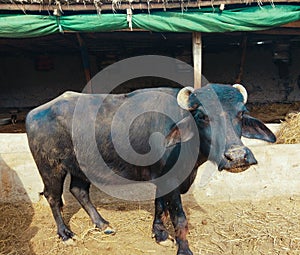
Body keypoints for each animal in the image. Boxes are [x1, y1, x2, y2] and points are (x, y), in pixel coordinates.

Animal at [26, 82, 276, 254]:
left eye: (241, 113)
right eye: (203, 116)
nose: (237, 156)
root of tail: (34, 113)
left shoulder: (162, 177)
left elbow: (159, 205)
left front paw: (160, 234)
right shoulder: (172, 180)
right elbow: (179, 217)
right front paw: (183, 248)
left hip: (81, 166)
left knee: (79, 191)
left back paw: (103, 224)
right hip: (50, 167)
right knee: (52, 197)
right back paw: (65, 234)